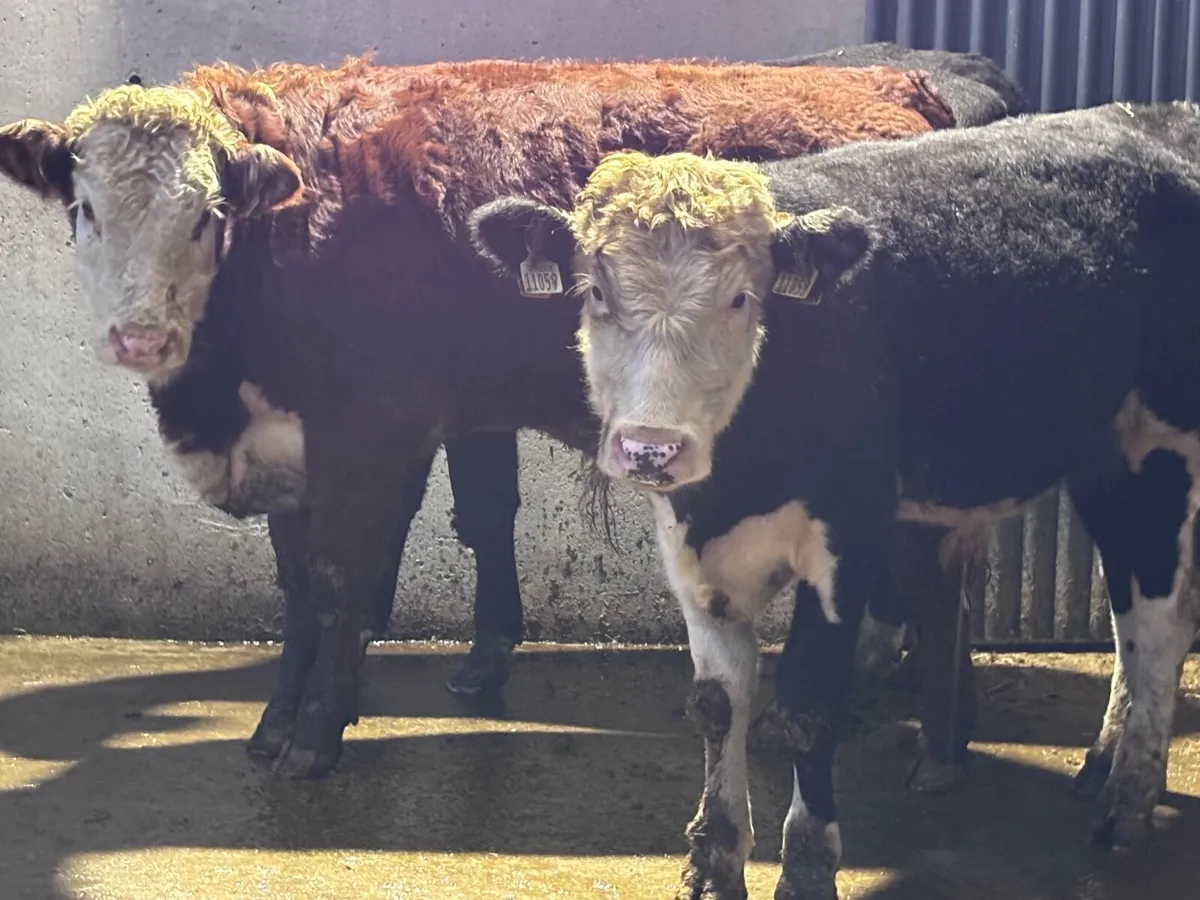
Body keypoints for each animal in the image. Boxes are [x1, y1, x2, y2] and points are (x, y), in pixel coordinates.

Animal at [0, 55, 959, 781]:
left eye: (207, 213)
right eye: (85, 209)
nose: (141, 336)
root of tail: (896, 84)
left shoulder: (371, 430)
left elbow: (343, 576)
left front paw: (313, 736)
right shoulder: (303, 441)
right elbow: (304, 583)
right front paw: (279, 722)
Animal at [466, 102, 1200, 898]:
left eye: (741, 298)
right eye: (597, 293)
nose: (652, 448)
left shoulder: (848, 537)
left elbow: (810, 704)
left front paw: (807, 866)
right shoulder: (688, 548)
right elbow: (718, 703)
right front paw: (714, 860)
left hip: (1158, 449)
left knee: (1158, 618)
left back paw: (1127, 800)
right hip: (1102, 459)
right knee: (1133, 612)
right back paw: (1103, 765)